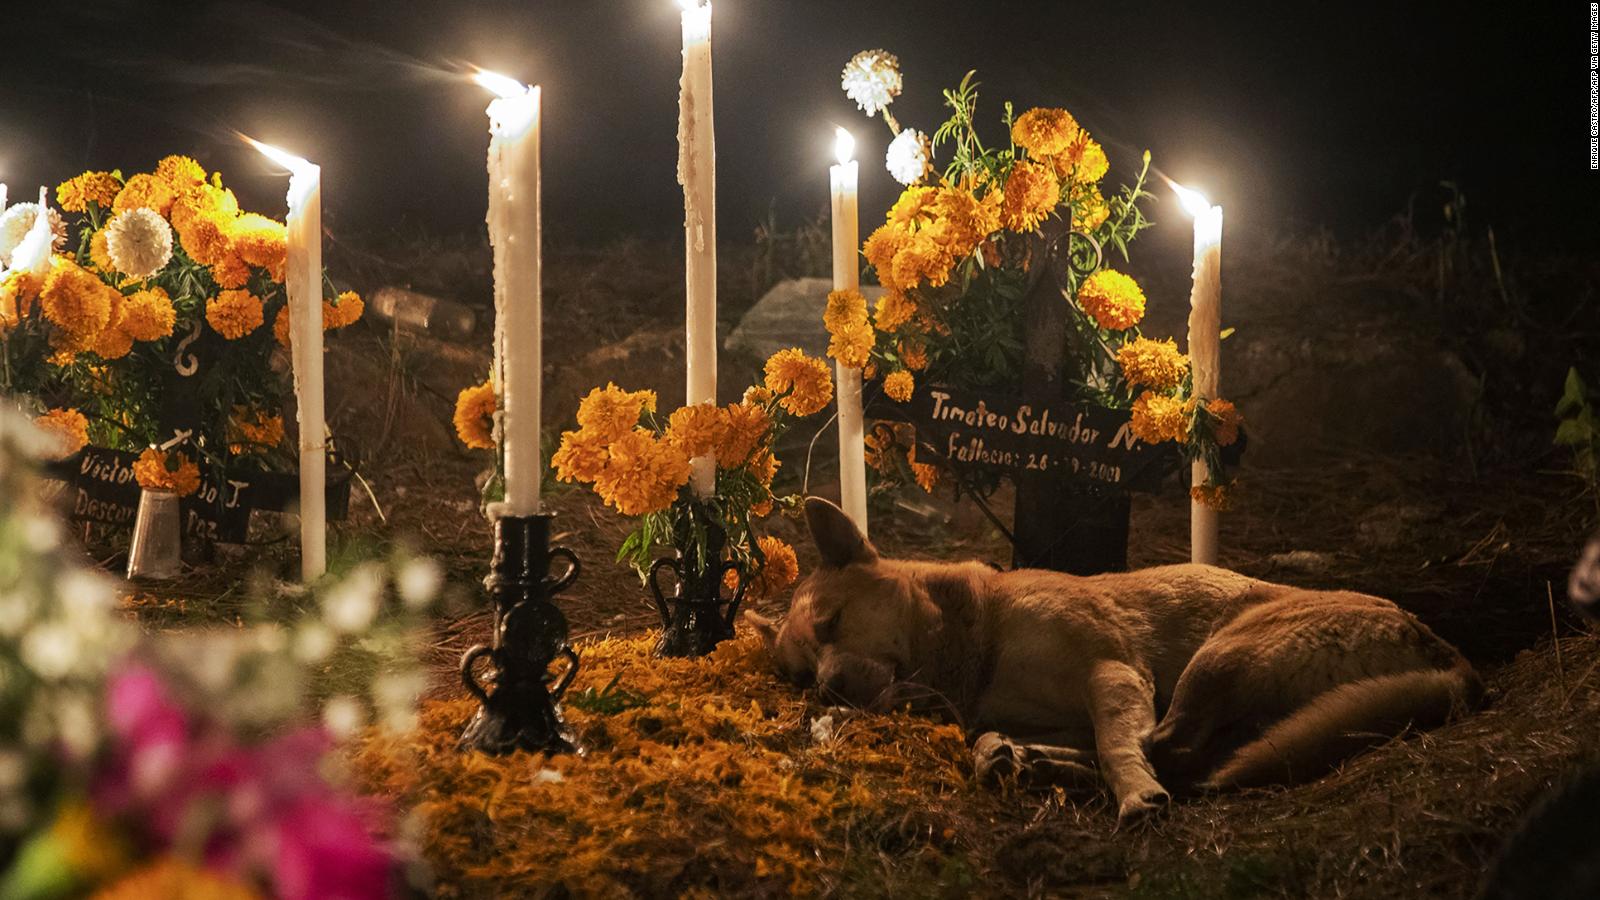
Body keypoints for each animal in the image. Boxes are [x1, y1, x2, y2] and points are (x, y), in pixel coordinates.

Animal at [742, 496, 1478, 819]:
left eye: (834, 622)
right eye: (798, 677)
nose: (828, 689)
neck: (978, 645)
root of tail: (1449, 656)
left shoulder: (1113, 673)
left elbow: (1119, 745)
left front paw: (1131, 791)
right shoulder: (1072, 705)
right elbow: (1082, 742)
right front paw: (1010, 753)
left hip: (1222, 654)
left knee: (1174, 747)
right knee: (1181, 751)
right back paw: (1029, 762)